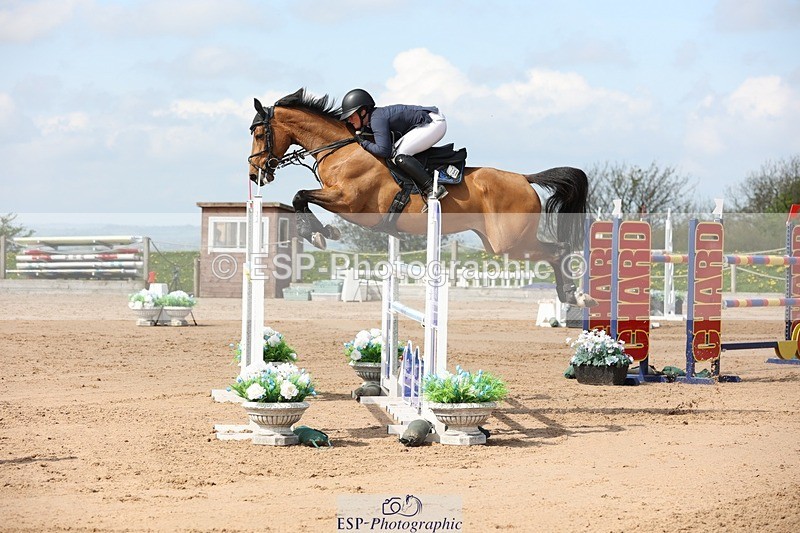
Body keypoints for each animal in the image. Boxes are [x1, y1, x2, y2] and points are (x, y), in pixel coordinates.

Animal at [248, 88, 595, 307]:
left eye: (260, 134)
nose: (255, 175)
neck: (341, 149)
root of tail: (524, 178)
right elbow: (303, 198)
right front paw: (323, 232)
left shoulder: (350, 202)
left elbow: (300, 196)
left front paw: (317, 233)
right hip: (498, 243)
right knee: (554, 251)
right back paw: (572, 296)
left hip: (510, 243)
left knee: (558, 251)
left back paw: (573, 296)